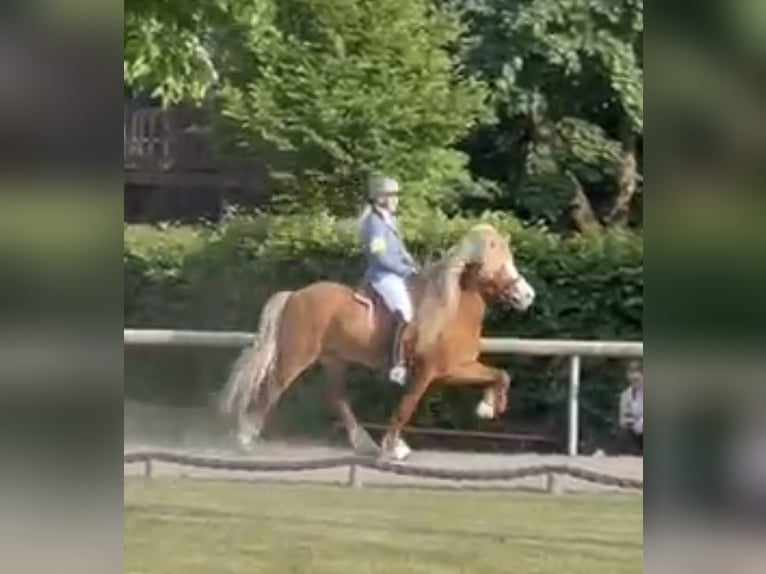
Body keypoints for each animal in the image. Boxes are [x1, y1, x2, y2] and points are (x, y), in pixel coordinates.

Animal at [218, 223, 536, 460]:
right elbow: (406, 406)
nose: (528, 295)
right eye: (498, 267)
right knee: (272, 388)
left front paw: (489, 407)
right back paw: (245, 439)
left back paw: (364, 444)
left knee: (336, 398)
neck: (451, 308)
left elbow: (500, 375)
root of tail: (295, 295)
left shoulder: (456, 367)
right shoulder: (429, 371)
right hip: (297, 356)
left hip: (334, 359)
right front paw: (393, 447)